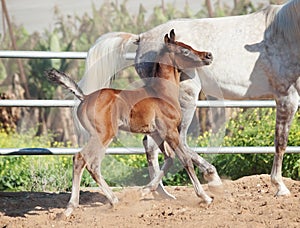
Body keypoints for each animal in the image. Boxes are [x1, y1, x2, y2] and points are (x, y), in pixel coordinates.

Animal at [47, 29, 213, 216]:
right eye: (185, 50)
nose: (208, 55)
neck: (162, 93)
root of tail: (85, 97)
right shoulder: (170, 131)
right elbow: (185, 160)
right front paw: (205, 197)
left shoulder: (157, 133)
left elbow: (169, 159)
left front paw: (145, 191)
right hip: (104, 135)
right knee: (81, 158)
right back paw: (70, 208)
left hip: (101, 137)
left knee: (93, 164)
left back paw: (113, 200)